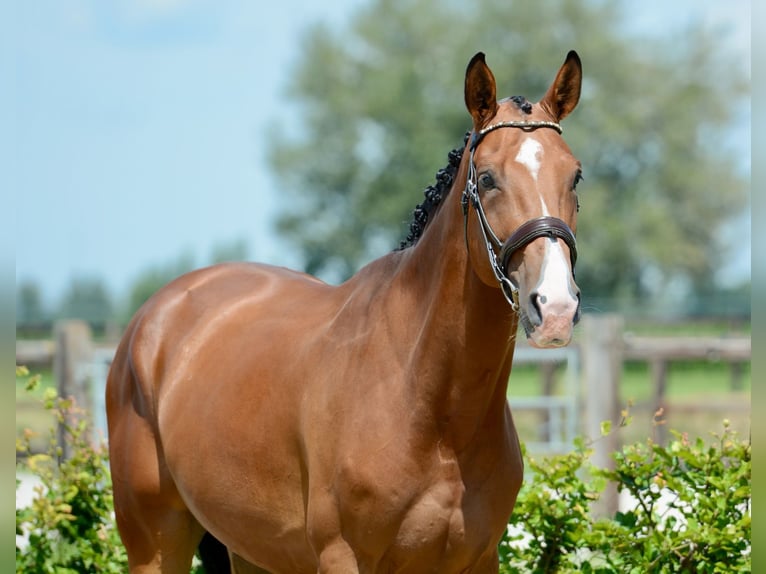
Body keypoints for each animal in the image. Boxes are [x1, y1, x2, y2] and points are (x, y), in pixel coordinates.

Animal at [106, 50, 583, 573]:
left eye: (575, 175)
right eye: (487, 178)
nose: (555, 307)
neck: (429, 405)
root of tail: (151, 321)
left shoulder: (479, 559)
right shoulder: (342, 556)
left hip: (252, 549)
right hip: (156, 545)